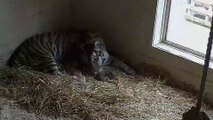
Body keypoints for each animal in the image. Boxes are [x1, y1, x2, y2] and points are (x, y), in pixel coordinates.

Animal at [7, 30, 136, 80]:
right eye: (85, 63)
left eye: (94, 58)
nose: (92, 73)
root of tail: (17, 53)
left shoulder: (110, 58)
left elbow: (122, 63)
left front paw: (134, 73)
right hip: (46, 57)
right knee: (57, 75)